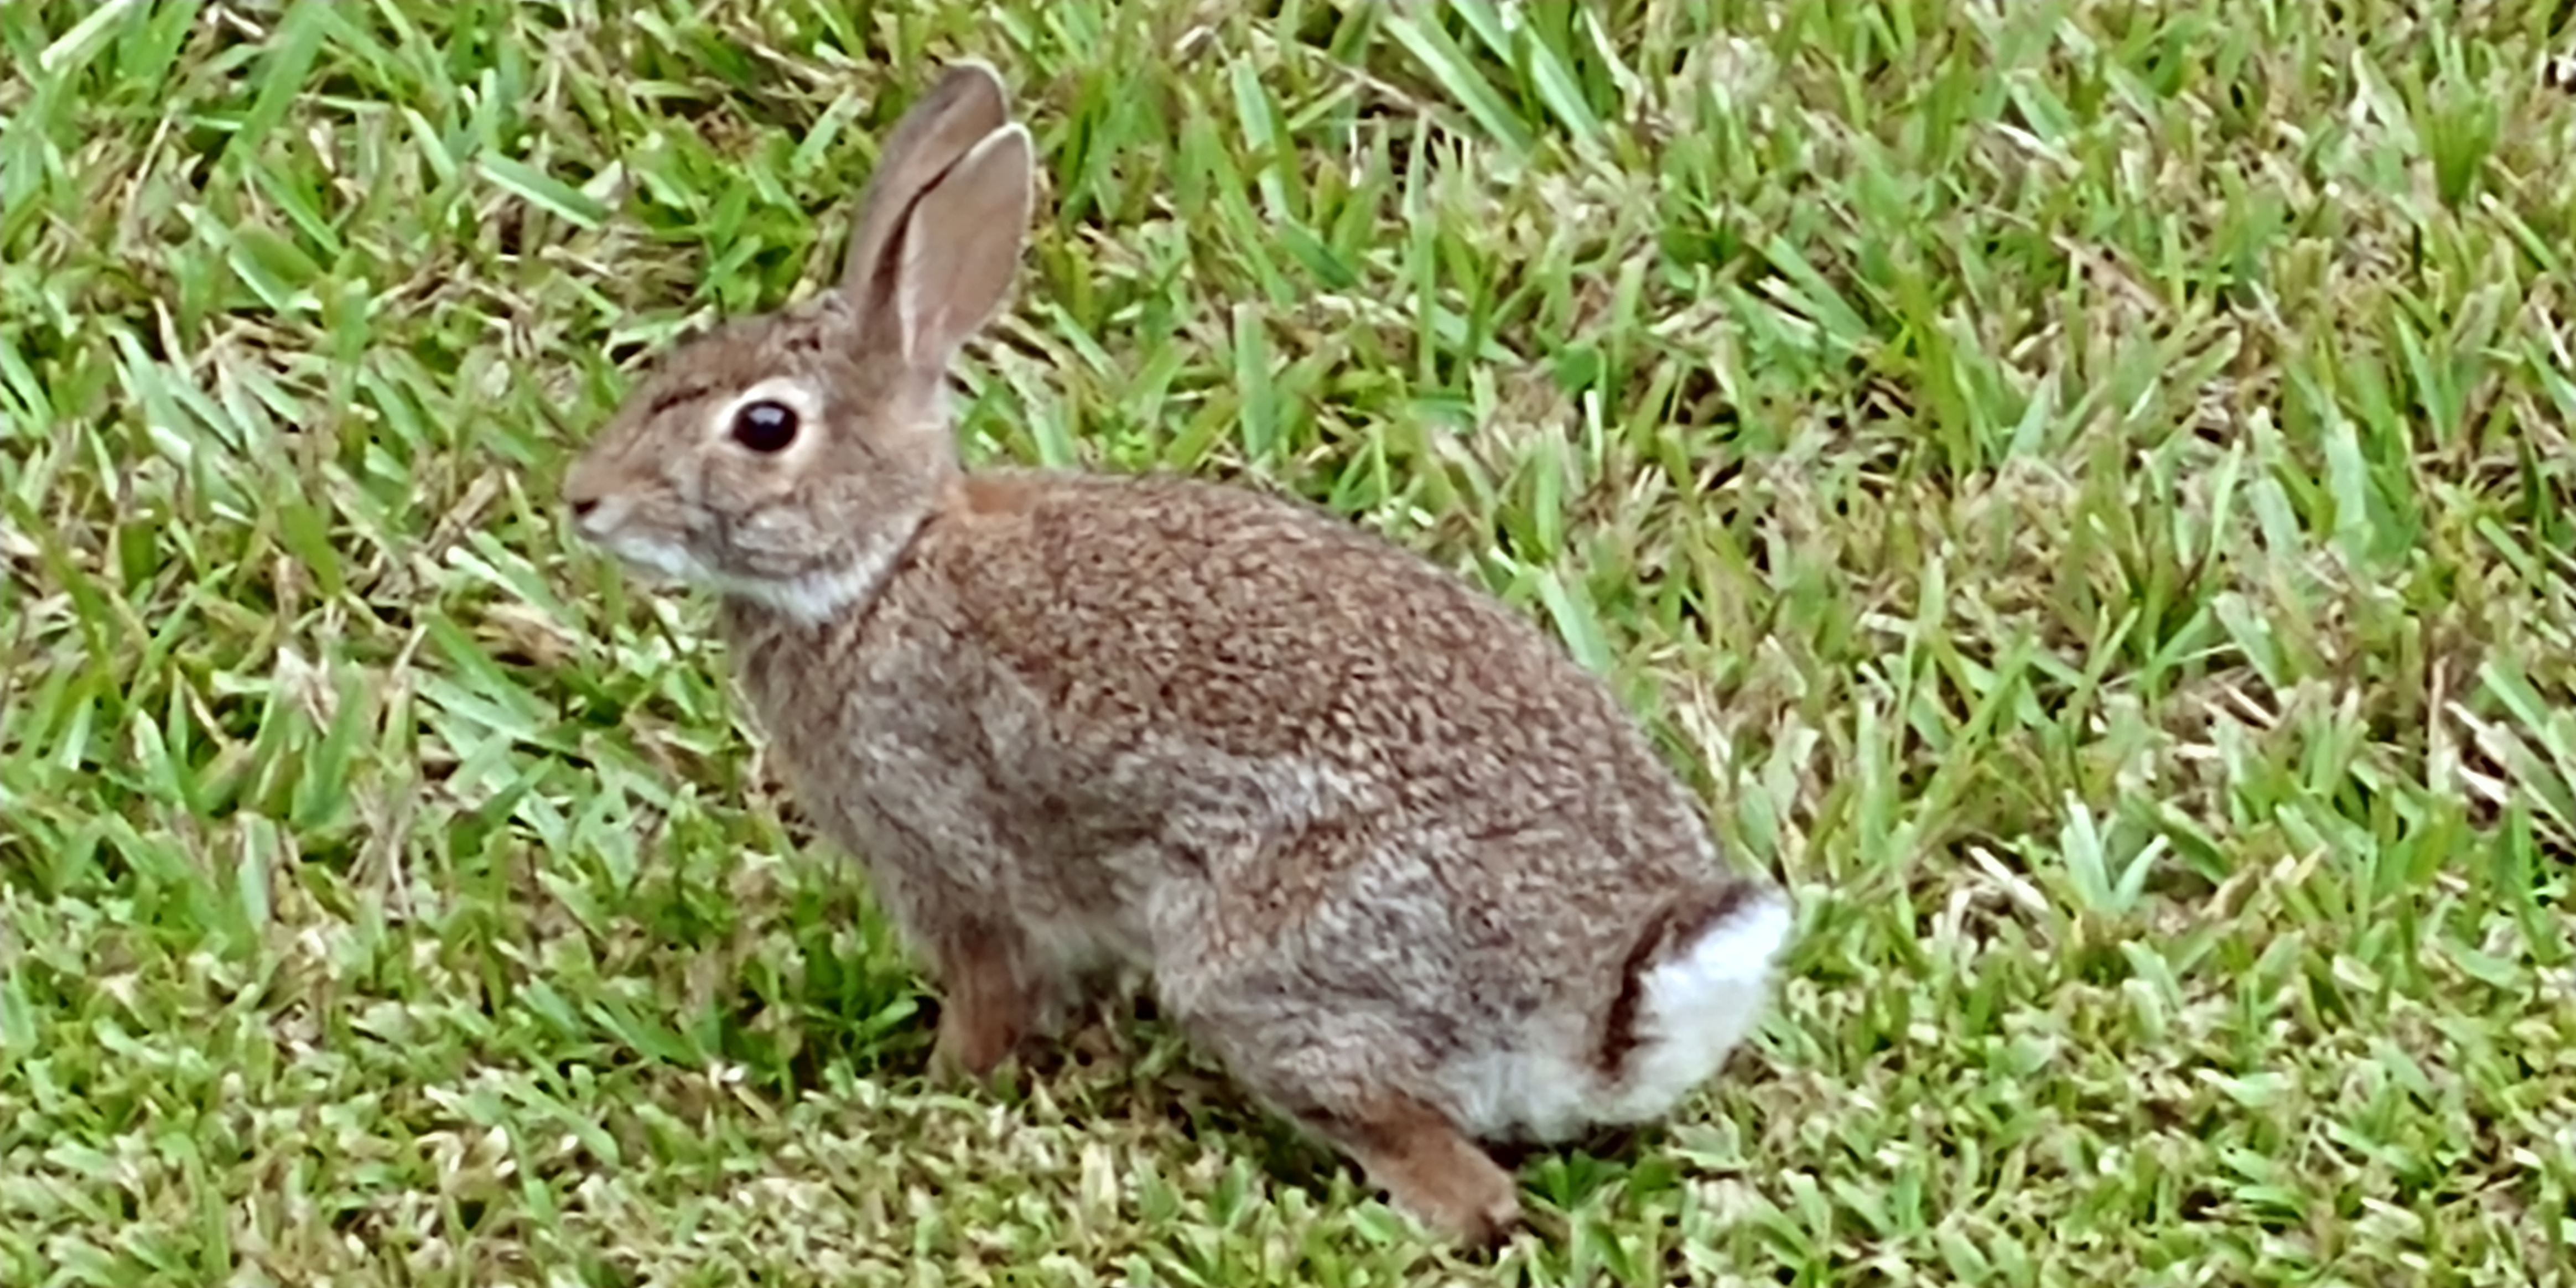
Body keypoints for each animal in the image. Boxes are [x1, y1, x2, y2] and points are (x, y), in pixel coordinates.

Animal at [559, 59, 1795, 1247]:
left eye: (764, 427)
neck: (884, 561)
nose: (583, 499)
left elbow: (989, 998)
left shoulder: (957, 867)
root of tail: (1613, 1006)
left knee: (1458, 1181)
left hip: (1265, 977)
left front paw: (936, 1087)